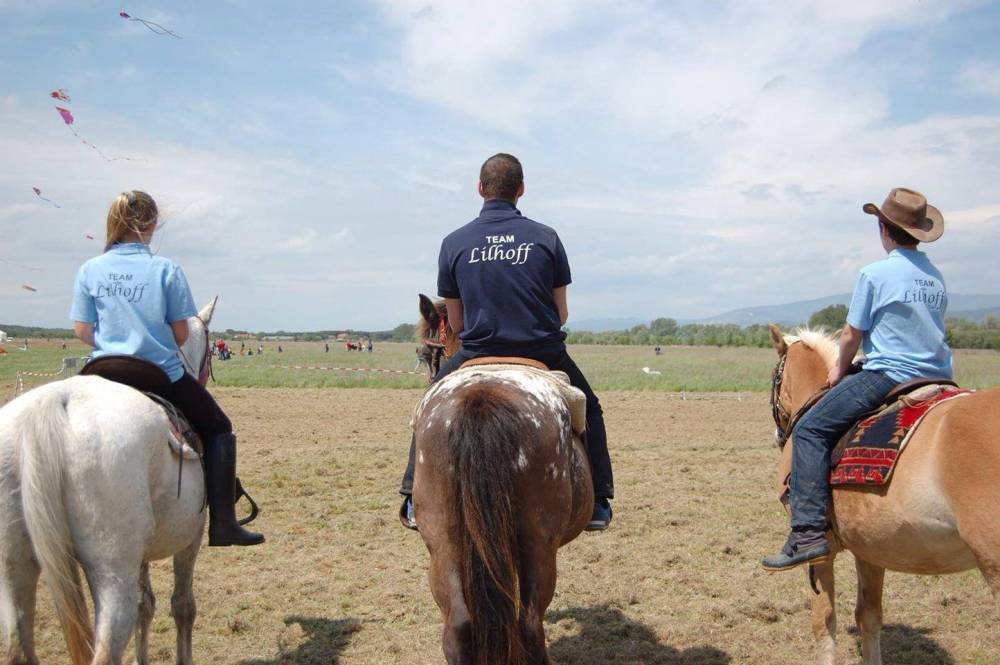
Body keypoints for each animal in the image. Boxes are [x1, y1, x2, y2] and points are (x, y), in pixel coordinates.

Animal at [0, 300, 219, 664]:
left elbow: (147, 605)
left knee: (16, 645)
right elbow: (182, 606)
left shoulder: (142, 553)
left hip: (12, 569)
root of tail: (56, 402)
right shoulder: (191, 537)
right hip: (112, 573)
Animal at [768, 326, 996, 664]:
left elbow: (824, 621)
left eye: (775, 375)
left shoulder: (823, 551)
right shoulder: (871, 545)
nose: (778, 434)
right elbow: (869, 617)